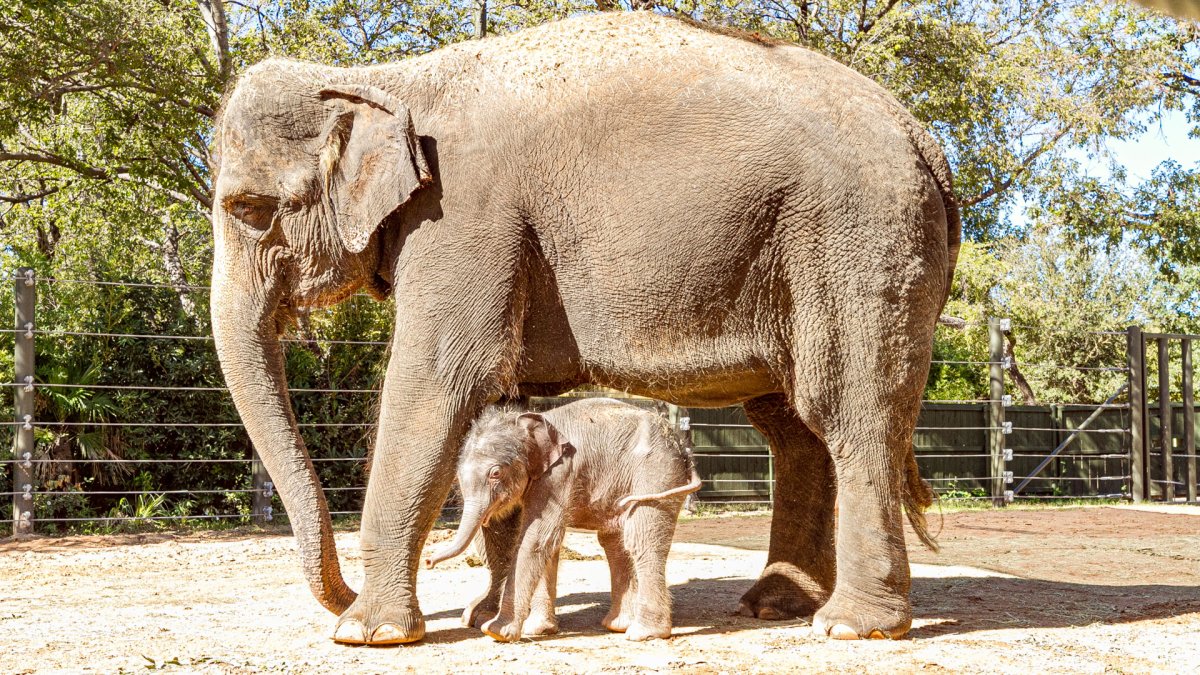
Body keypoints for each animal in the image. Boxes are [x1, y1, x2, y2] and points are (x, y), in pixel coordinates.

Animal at [427, 396, 700, 638]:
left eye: (495, 473)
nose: (429, 562)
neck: (526, 422)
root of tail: (683, 448)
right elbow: (549, 546)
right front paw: (537, 629)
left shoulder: (558, 476)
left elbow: (536, 539)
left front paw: (497, 632)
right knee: (613, 542)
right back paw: (617, 626)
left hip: (656, 475)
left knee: (641, 539)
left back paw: (643, 633)